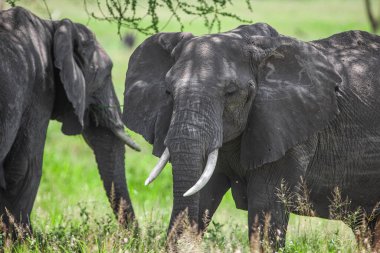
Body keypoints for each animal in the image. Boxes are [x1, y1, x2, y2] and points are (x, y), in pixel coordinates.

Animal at [0, 5, 140, 231]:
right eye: (107, 74)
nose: (134, 238)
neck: (54, 27)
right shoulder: (39, 88)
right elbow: (26, 168)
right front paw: (26, 238)